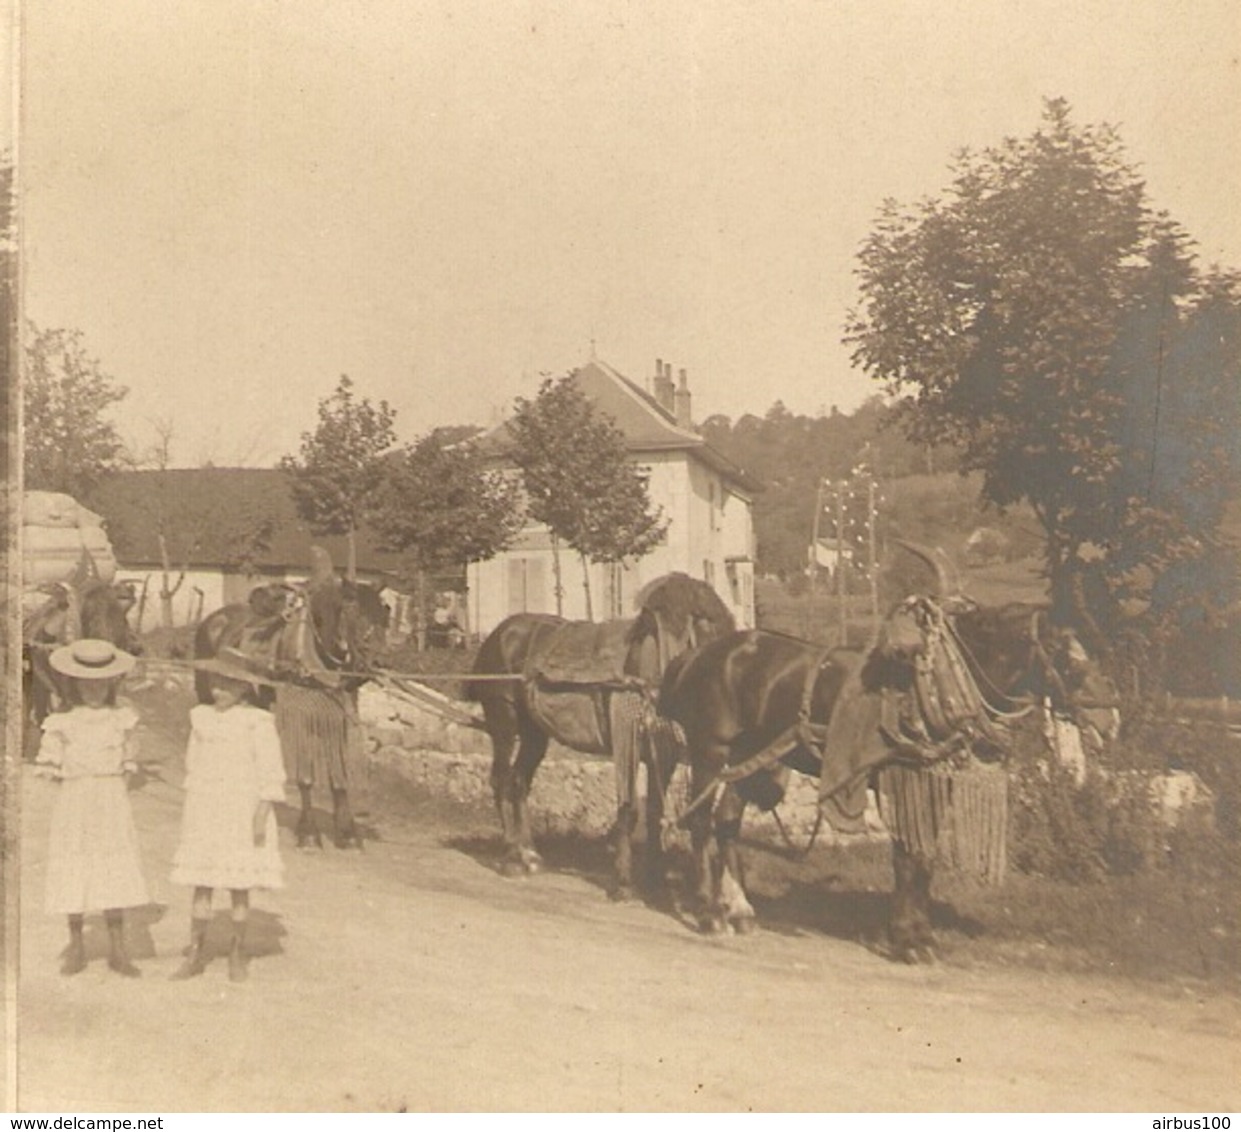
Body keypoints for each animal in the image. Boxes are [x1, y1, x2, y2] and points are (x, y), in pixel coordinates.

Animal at [193, 548, 389, 849]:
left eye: (383, 613)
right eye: (353, 611)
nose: (377, 662)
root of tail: (213, 618)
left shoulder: (337, 717)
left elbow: (340, 775)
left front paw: (346, 830)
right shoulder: (301, 715)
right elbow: (306, 776)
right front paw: (308, 830)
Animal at [466, 575, 734, 903]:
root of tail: (499, 634)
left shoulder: (663, 754)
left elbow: (654, 812)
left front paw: (654, 881)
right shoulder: (626, 744)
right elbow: (629, 811)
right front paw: (623, 882)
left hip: (534, 733)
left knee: (519, 781)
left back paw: (528, 853)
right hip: (503, 720)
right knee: (501, 780)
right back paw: (510, 856)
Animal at [655, 575, 1121, 953]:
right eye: (1068, 658)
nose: (1111, 721)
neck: (934, 682)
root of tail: (699, 654)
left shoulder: (933, 781)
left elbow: (924, 858)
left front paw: (918, 934)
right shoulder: (903, 777)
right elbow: (906, 859)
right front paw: (907, 940)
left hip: (748, 759)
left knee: (727, 824)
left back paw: (739, 911)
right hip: (711, 751)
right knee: (700, 824)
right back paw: (709, 913)